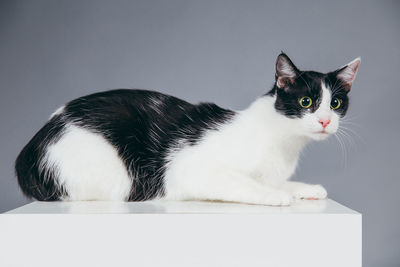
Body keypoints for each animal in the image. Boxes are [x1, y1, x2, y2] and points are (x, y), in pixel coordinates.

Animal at [14, 53, 360, 206]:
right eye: (306, 101)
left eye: (336, 103)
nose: (325, 121)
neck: (283, 142)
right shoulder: (189, 170)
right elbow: (244, 184)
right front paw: (277, 196)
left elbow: (275, 181)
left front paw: (304, 188)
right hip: (116, 177)